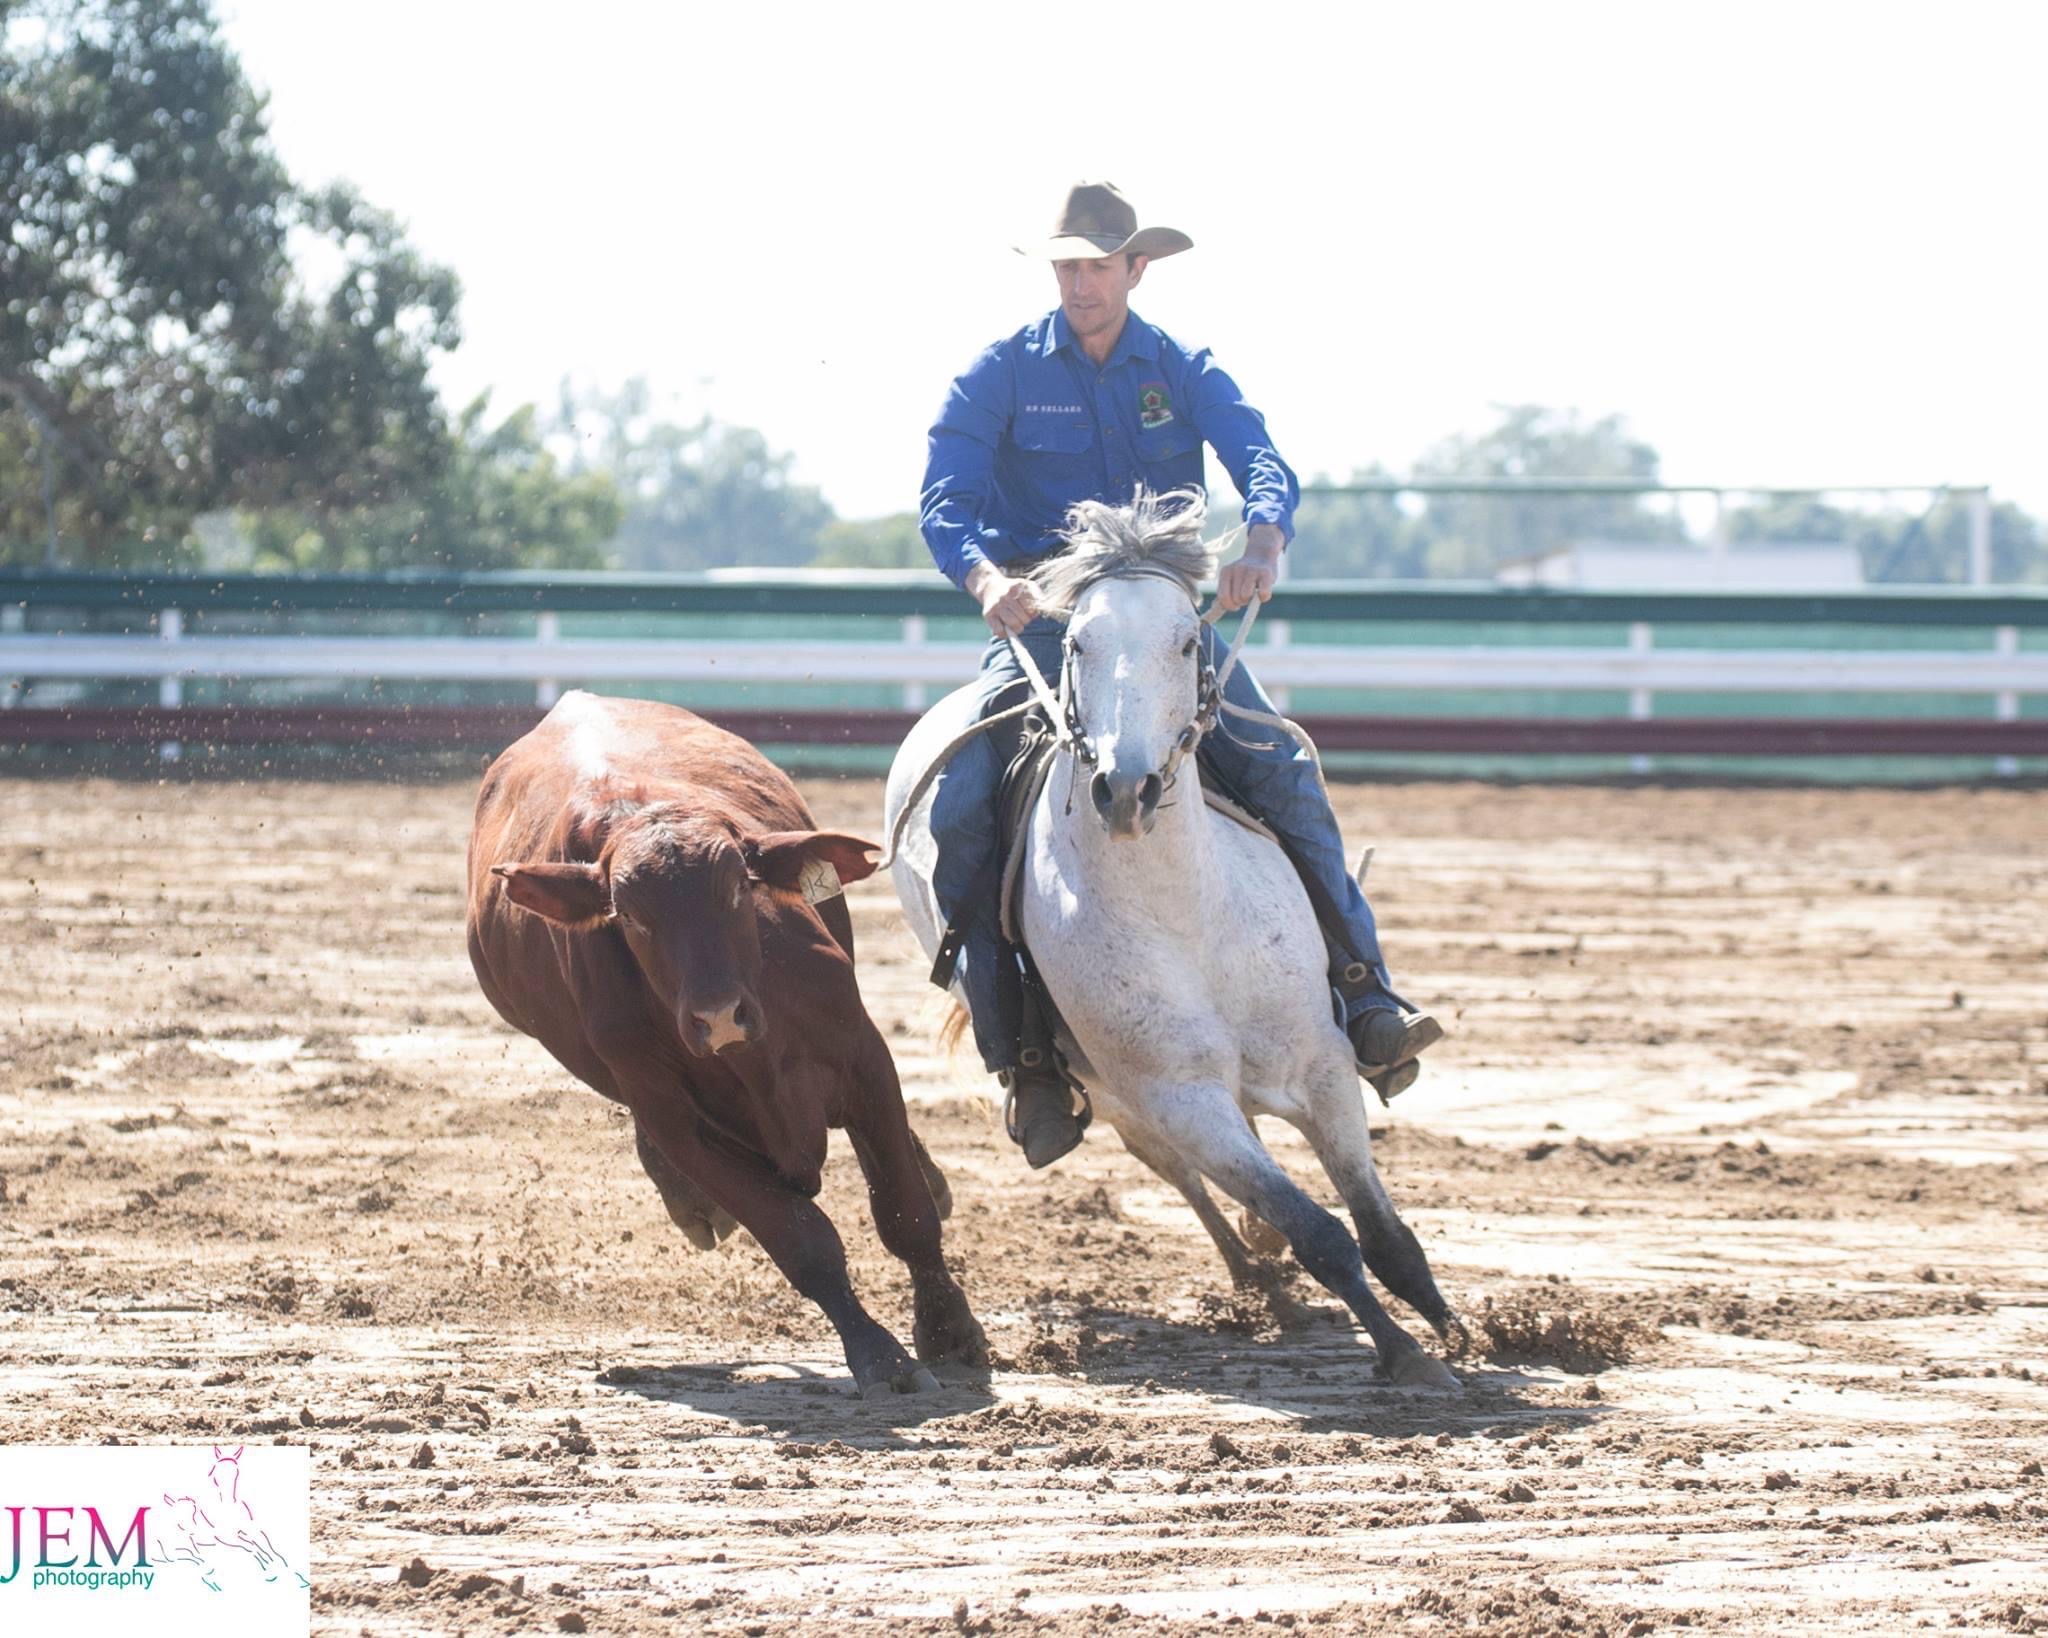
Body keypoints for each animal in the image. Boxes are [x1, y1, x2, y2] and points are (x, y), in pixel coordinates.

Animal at [465, 691, 986, 1398]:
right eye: (630, 915)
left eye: (739, 884)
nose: (718, 1017)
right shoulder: (680, 1123)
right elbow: (803, 1243)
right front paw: (878, 1354)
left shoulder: (864, 1060)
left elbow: (906, 1214)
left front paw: (947, 1329)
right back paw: (690, 1202)